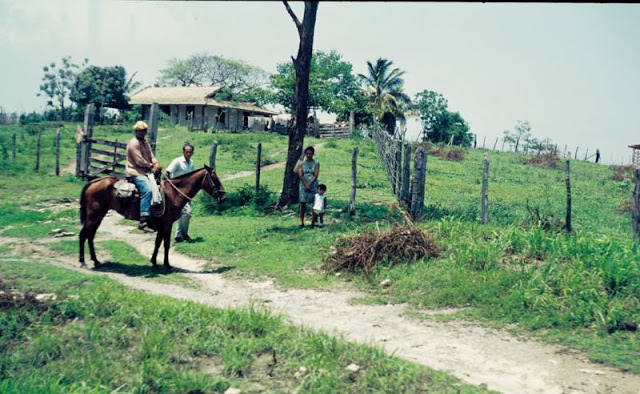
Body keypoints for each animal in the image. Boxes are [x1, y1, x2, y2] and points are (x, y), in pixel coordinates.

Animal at [79, 165, 226, 270]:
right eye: (215, 179)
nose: (224, 196)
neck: (174, 193)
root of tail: (93, 182)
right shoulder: (167, 224)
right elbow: (166, 244)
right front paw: (167, 264)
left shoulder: (162, 225)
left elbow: (158, 243)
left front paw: (154, 262)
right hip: (94, 215)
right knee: (83, 234)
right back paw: (82, 261)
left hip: (99, 216)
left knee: (90, 235)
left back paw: (96, 261)